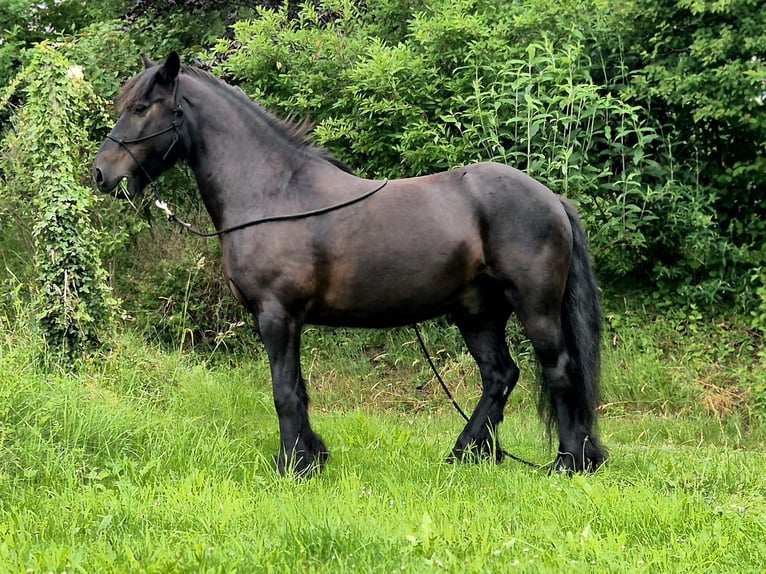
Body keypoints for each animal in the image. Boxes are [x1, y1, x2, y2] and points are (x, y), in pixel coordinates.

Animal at [93, 52, 606, 476]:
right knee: (499, 376)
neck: (273, 192)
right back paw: (465, 454)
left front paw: (292, 467)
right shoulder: (286, 320)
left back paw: (569, 462)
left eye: (142, 107)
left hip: (534, 308)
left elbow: (283, 391)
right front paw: (312, 457)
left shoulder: (276, 314)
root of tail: (552, 200)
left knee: (558, 369)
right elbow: (297, 389)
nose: (101, 174)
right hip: (477, 312)